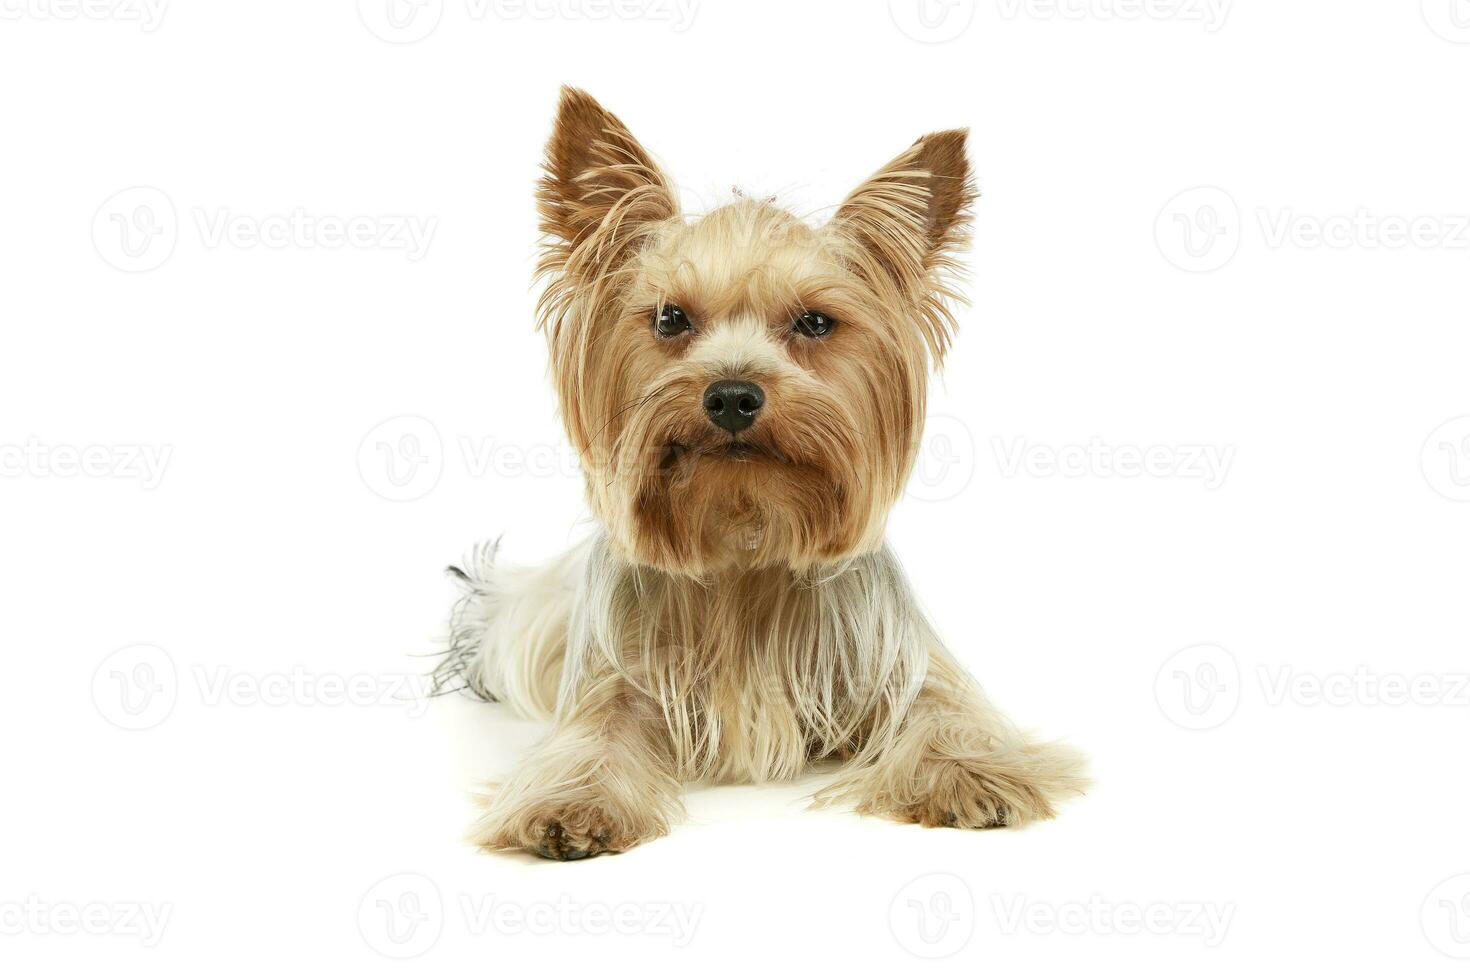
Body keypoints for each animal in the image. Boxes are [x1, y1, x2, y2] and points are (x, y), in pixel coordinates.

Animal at [435, 89, 1081, 858]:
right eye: (669, 318)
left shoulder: (896, 662)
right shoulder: (617, 675)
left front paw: (969, 773)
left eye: (815, 323)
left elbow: (942, 707)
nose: (733, 395)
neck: (745, 536)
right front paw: (573, 803)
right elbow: (595, 729)